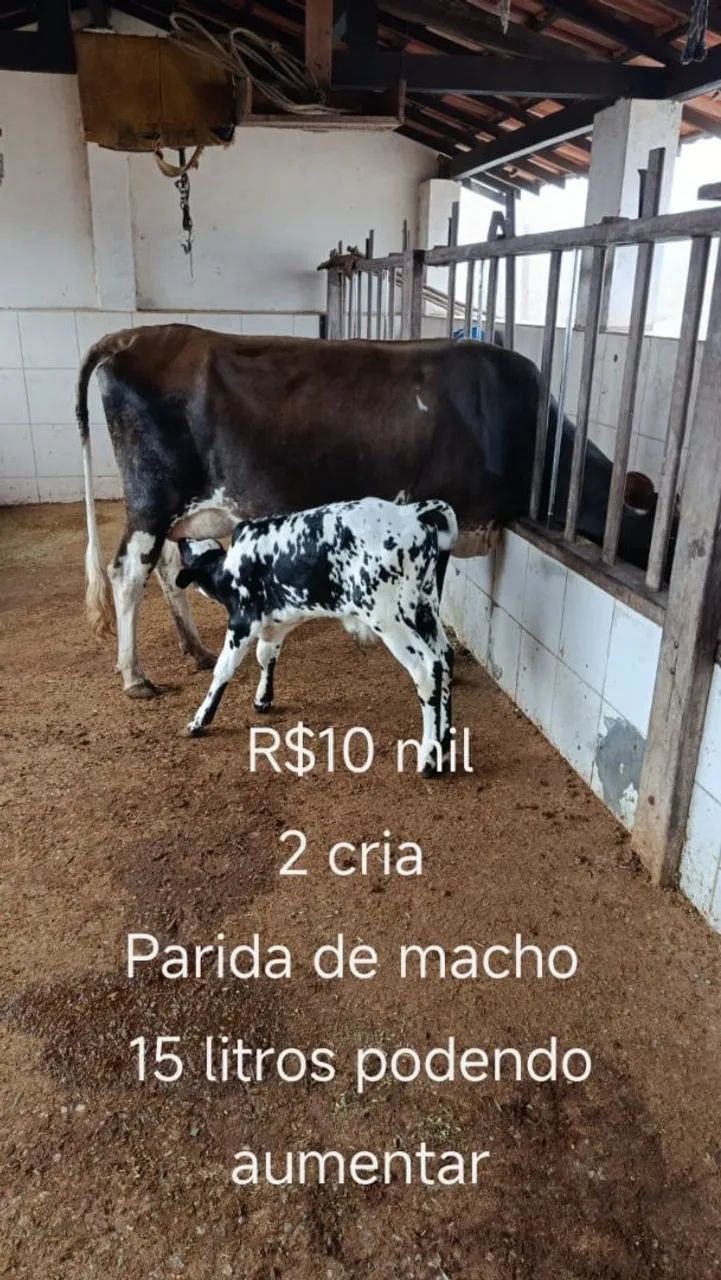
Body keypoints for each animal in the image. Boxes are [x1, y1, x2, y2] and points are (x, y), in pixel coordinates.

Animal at [76, 324, 665, 698]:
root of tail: (131, 336)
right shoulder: (439, 517)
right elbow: (432, 595)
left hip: (181, 512)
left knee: (167, 571)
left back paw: (195, 650)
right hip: (152, 500)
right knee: (126, 575)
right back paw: (135, 677)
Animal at [173, 498, 457, 775]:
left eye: (187, 552)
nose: (180, 538)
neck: (229, 566)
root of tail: (410, 513)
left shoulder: (242, 621)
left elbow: (224, 668)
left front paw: (200, 720)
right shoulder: (279, 621)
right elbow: (265, 655)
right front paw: (262, 699)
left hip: (389, 620)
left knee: (426, 670)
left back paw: (429, 758)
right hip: (424, 609)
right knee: (445, 658)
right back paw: (443, 746)